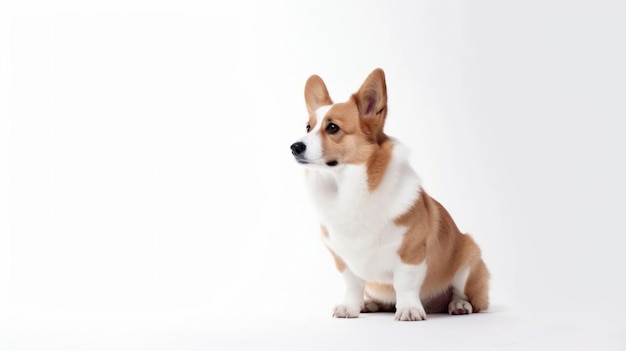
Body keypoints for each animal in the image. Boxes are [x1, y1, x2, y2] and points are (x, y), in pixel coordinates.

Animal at [290, 68, 490, 322]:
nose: (294, 147)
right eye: (308, 127)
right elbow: (353, 284)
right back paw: (369, 304)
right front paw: (350, 307)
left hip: (468, 260)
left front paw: (409, 310)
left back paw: (459, 305)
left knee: (462, 293)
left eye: (332, 128)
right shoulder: (342, 258)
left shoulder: (411, 254)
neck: (348, 188)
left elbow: (405, 285)